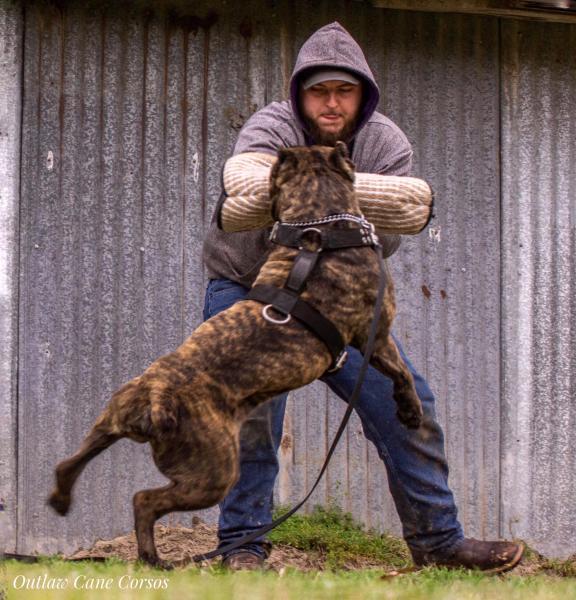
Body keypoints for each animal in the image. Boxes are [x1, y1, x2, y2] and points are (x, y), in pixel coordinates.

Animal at [47, 143, 420, 568]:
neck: (319, 226)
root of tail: (157, 395)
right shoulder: (378, 336)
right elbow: (402, 373)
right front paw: (410, 411)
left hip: (109, 423)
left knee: (69, 464)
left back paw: (62, 501)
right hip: (214, 473)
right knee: (144, 500)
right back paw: (153, 558)